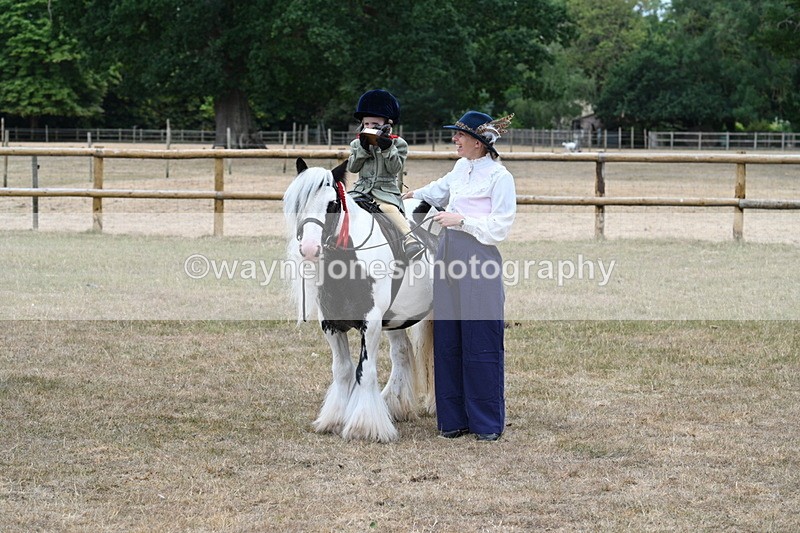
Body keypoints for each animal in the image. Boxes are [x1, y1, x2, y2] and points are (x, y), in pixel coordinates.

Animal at [283, 158, 437, 442]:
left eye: (332, 205)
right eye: (298, 203)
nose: (309, 249)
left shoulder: (371, 323)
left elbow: (364, 372)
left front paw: (365, 426)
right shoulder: (331, 325)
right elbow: (342, 370)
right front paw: (334, 420)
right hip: (396, 320)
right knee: (402, 353)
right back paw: (396, 405)